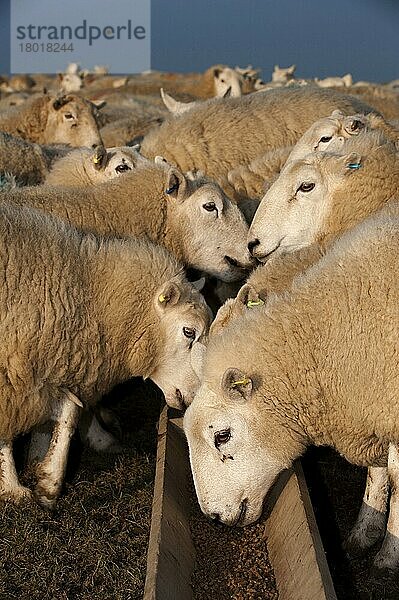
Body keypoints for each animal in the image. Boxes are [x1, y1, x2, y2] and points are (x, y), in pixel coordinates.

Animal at [0, 200, 212, 506]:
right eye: (188, 331)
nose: (195, 396)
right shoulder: (13, 369)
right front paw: (12, 487)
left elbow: (69, 413)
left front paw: (48, 481)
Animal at [186, 206, 399, 576]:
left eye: (222, 436)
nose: (213, 517)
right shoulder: (370, 403)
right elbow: (379, 471)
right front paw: (364, 531)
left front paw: (388, 556)